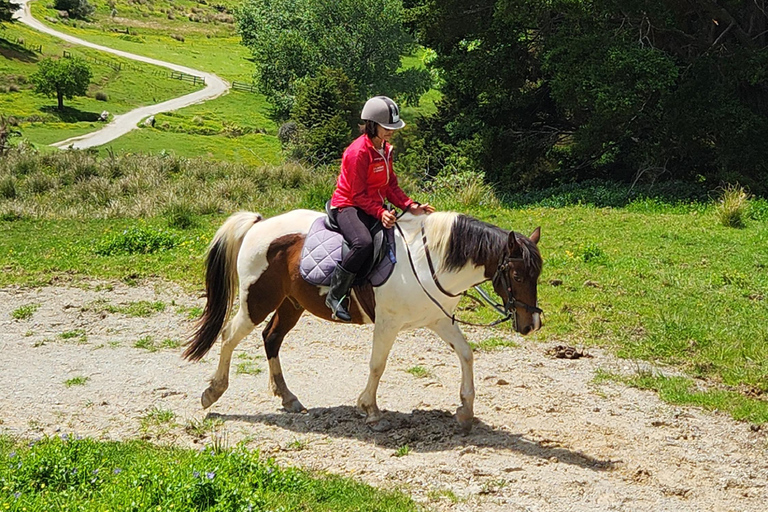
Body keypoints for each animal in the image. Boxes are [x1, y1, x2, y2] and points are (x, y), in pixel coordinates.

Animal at [183, 209, 543, 432]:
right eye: (517, 275)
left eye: (536, 275)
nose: (532, 325)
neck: (429, 261)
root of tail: (258, 224)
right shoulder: (387, 324)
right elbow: (377, 365)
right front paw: (370, 410)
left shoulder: (439, 320)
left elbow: (466, 355)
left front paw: (465, 411)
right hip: (257, 302)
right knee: (229, 336)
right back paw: (213, 391)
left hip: (291, 304)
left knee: (271, 338)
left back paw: (288, 397)